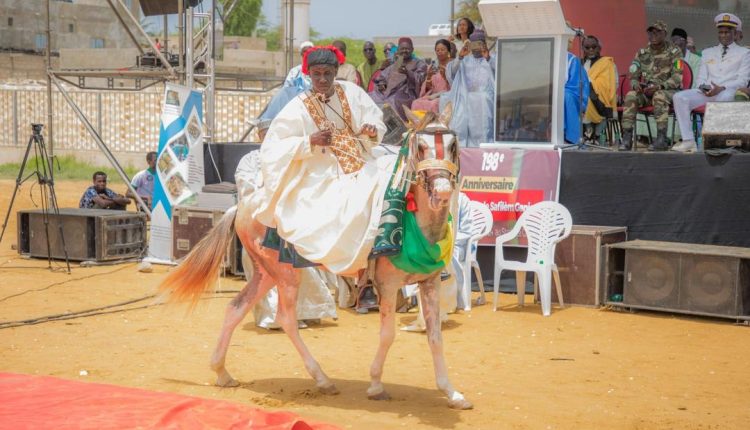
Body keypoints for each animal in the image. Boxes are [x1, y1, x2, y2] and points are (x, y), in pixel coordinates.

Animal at [158, 103, 473, 410]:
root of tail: (244, 205)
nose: (443, 191)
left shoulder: (429, 282)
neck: (413, 221)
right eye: (421, 147)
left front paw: (452, 393)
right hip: (284, 274)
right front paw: (376, 385)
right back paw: (321, 379)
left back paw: (222, 372)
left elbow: (435, 336)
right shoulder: (387, 284)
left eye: (453, 145)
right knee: (286, 318)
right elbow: (388, 335)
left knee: (236, 308)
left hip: (266, 272)